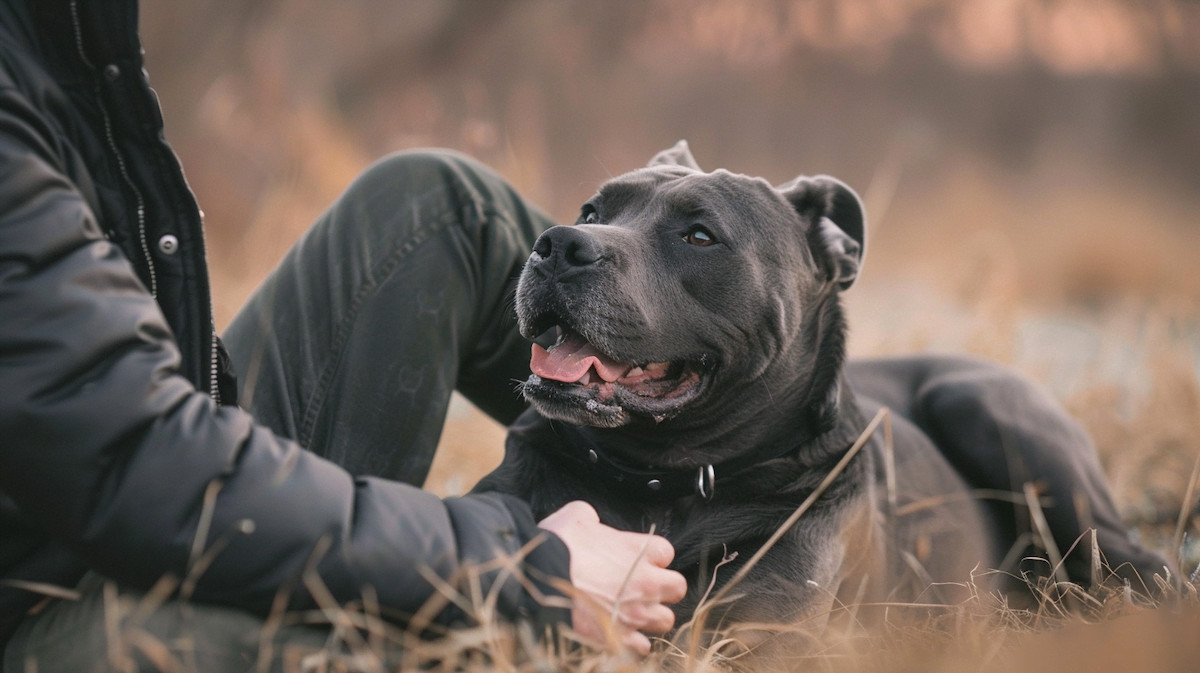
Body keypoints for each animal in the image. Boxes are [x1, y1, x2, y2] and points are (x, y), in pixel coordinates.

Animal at [470, 140, 1171, 628]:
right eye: (592, 210)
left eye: (699, 235)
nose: (558, 244)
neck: (659, 481)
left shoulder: (762, 634)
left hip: (990, 411)